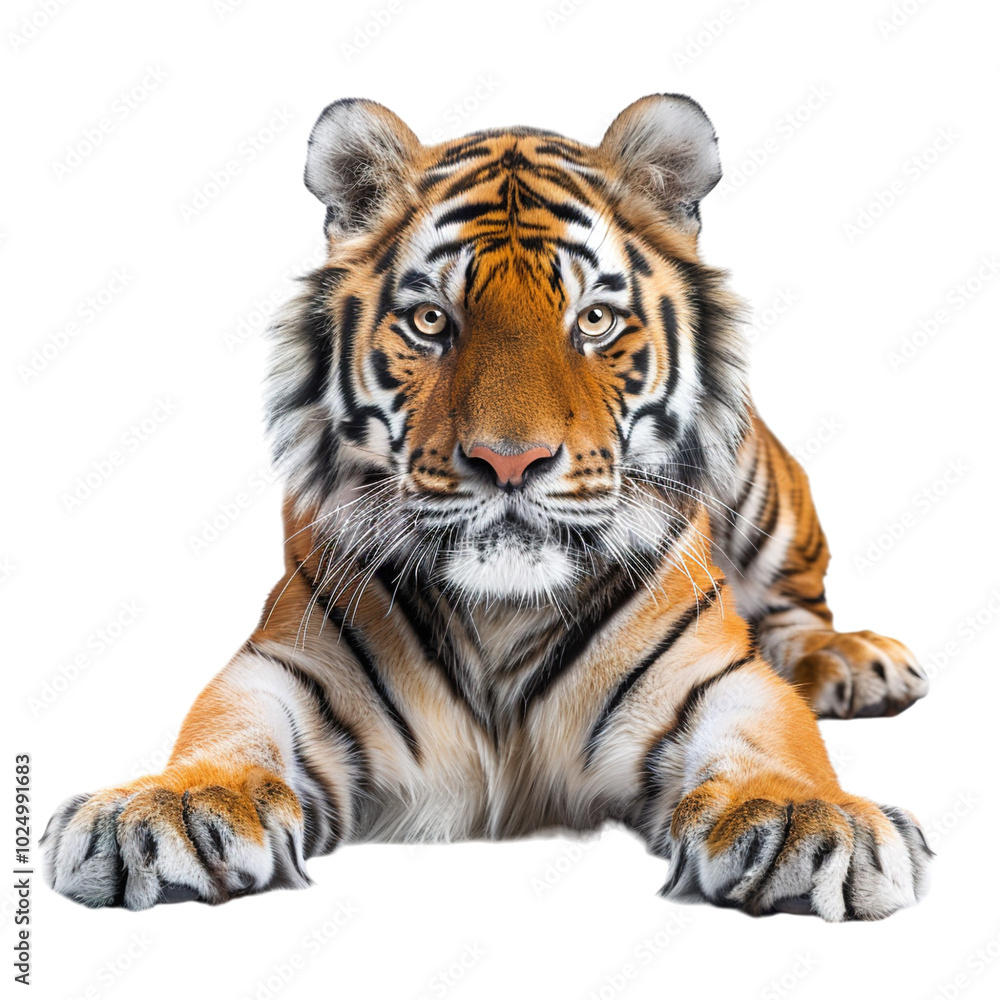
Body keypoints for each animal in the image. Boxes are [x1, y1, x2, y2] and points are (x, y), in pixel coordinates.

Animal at [42, 93, 932, 920]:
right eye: (431, 320)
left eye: (595, 319)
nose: (511, 460)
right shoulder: (287, 664)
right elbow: (225, 730)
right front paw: (174, 804)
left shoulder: (713, 677)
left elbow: (773, 741)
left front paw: (798, 818)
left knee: (796, 605)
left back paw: (854, 662)